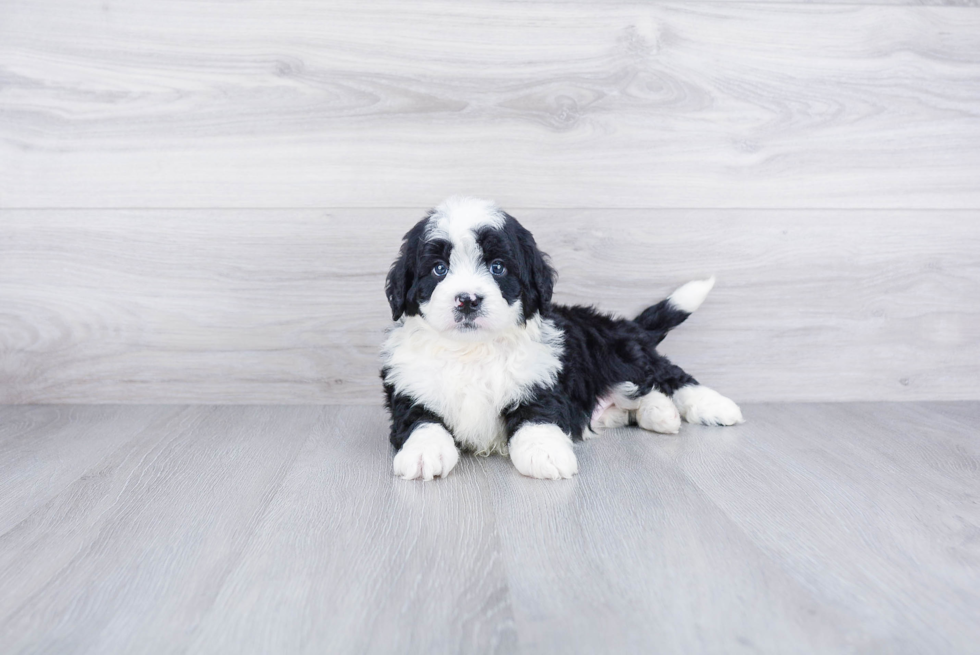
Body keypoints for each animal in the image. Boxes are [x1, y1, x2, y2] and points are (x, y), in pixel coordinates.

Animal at [382, 197, 744, 480]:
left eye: (498, 267)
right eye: (439, 269)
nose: (468, 300)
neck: (472, 351)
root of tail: (625, 326)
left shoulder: (541, 376)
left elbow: (539, 416)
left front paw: (545, 452)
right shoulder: (408, 387)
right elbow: (421, 421)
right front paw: (424, 452)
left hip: (619, 352)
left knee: (668, 375)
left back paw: (713, 406)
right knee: (637, 395)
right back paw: (658, 414)